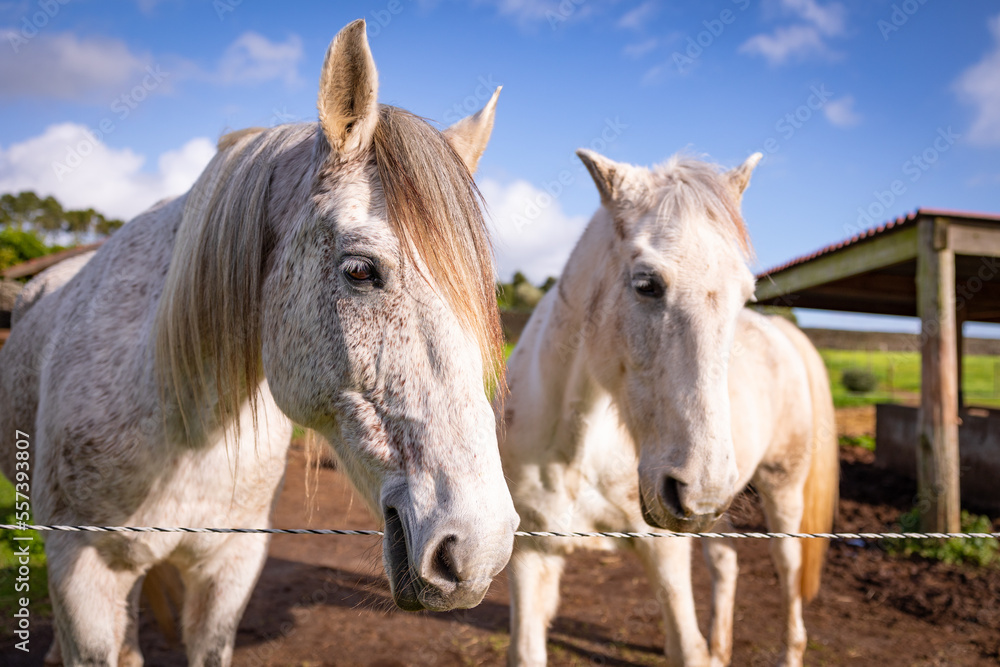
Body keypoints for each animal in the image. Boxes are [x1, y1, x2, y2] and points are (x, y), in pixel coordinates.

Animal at [500, 150, 836, 667]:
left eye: (745, 295)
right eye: (646, 284)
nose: (698, 488)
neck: (573, 448)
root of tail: (781, 332)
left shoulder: (665, 552)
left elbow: (687, 647)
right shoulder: (532, 554)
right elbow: (525, 650)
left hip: (780, 489)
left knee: (789, 569)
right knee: (725, 561)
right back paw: (722, 648)